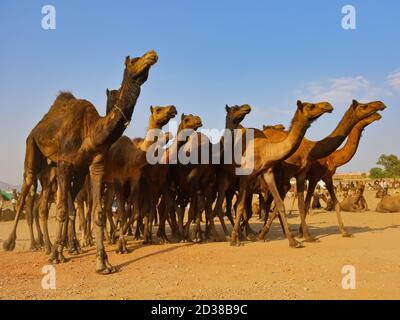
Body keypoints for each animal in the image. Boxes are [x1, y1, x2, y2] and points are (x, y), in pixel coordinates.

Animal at [4, 50, 159, 276]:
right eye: (134, 60)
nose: (152, 55)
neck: (91, 131)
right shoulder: (64, 164)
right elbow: (61, 210)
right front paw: (56, 256)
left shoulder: (94, 166)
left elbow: (97, 212)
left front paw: (103, 263)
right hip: (32, 147)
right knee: (27, 188)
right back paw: (15, 243)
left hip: (58, 171)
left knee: (48, 206)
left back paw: (56, 246)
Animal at [230, 100, 332, 248]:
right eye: (310, 106)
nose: (328, 105)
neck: (265, 151)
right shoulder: (245, 176)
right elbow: (240, 206)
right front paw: (234, 240)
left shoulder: (267, 172)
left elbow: (279, 203)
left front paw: (293, 241)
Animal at [260, 100, 388, 242]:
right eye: (364, 106)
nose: (380, 106)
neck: (332, 158)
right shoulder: (312, 176)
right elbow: (303, 204)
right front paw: (303, 234)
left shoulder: (327, 177)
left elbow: (335, 203)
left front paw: (344, 232)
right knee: (268, 202)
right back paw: (263, 233)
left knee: (270, 201)